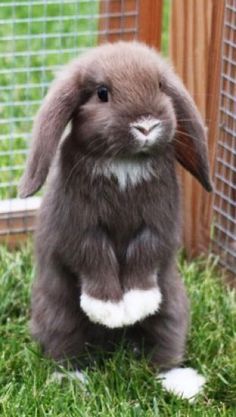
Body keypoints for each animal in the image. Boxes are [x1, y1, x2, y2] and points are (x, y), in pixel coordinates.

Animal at [18, 42, 212, 400]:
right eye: (102, 93)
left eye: (160, 86)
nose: (146, 126)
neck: (125, 162)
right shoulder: (80, 227)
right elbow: (94, 256)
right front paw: (108, 309)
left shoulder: (158, 225)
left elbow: (145, 253)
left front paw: (135, 303)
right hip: (58, 311)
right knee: (66, 348)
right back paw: (71, 380)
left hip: (174, 307)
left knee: (165, 345)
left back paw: (178, 382)